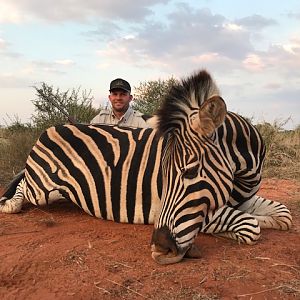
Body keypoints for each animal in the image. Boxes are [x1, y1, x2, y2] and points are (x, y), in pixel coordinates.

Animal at [0, 69, 290, 264]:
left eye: (190, 172)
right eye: (164, 176)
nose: (162, 247)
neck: (243, 176)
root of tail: (50, 128)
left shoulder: (242, 199)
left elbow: (282, 215)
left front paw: (264, 219)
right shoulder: (203, 210)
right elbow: (249, 226)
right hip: (42, 190)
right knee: (24, 183)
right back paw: (10, 204)